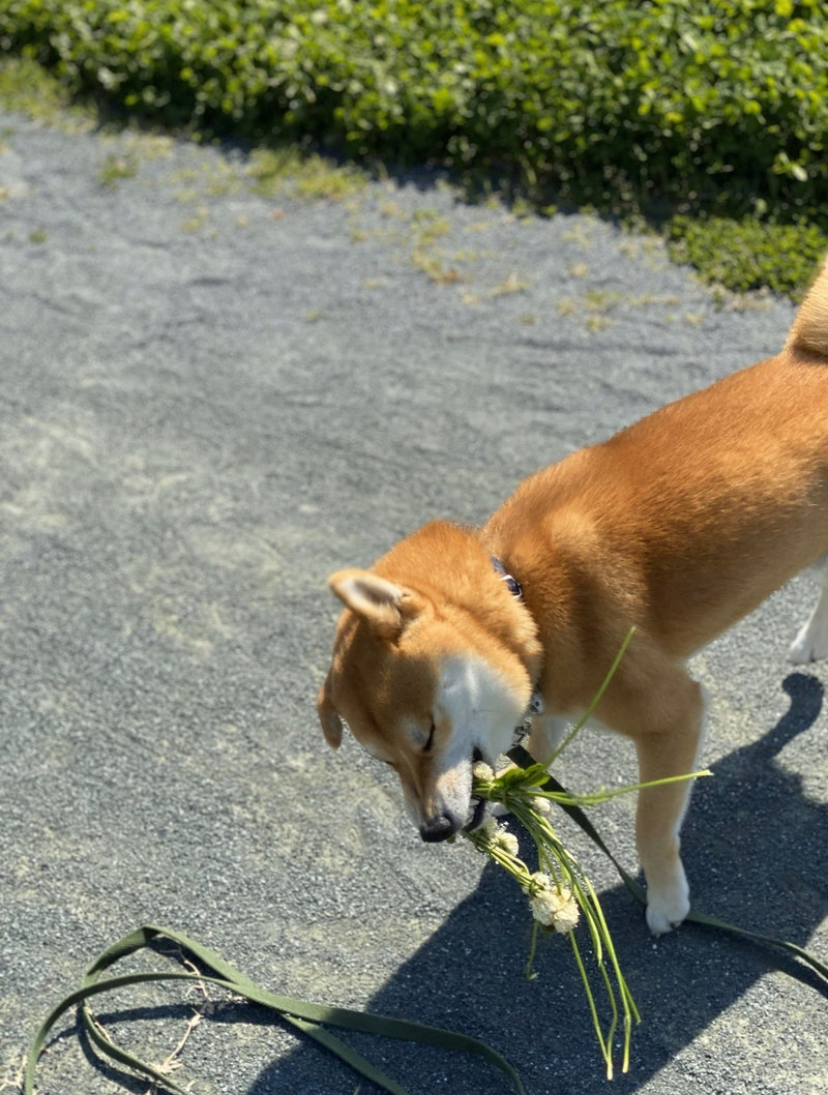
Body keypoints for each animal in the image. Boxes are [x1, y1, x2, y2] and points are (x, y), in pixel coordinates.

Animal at [317, 256, 828, 932]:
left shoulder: (673, 716)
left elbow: (651, 828)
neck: (524, 596)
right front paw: (526, 814)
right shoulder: (544, 704)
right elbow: (536, 765)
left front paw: (667, 902)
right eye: (382, 760)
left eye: (424, 733)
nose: (433, 831)